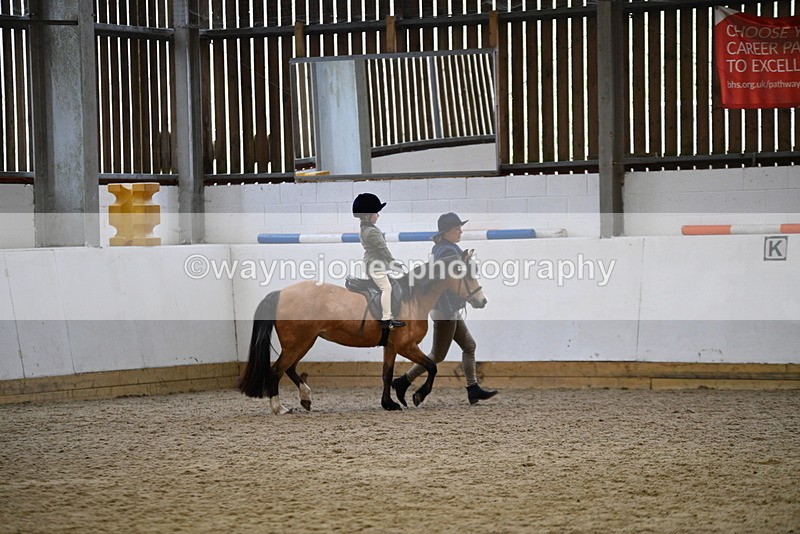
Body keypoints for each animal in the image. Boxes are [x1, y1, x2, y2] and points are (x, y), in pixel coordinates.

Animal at [237, 249, 488, 414]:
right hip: (298, 342)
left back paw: (306, 398)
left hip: (304, 341)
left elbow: (387, 374)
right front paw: (417, 395)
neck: (413, 298)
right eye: (466, 274)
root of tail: (281, 293)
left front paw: (389, 403)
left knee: (289, 368)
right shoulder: (406, 346)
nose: (482, 301)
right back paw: (279, 407)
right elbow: (432, 366)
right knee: (277, 370)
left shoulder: (391, 347)